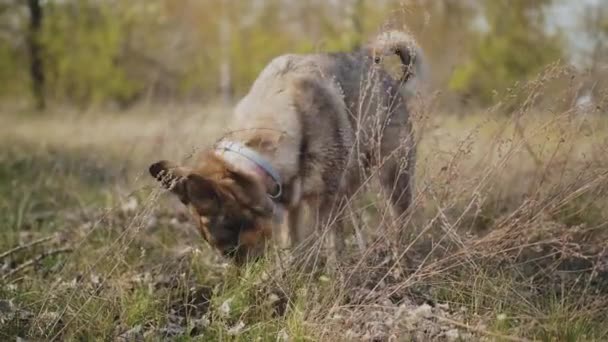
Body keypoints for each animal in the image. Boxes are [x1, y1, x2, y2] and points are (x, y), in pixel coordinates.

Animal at [148, 30, 422, 264]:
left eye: (231, 235)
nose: (243, 276)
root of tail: (380, 71)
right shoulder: (293, 207)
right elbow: (292, 245)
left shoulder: (326, 202)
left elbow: (332, 245)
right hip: (352, 183)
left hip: (393, 177)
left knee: (399, 223)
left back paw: (400, 262)